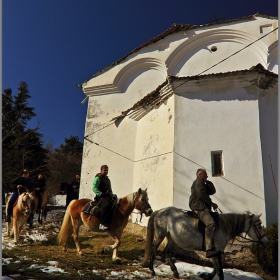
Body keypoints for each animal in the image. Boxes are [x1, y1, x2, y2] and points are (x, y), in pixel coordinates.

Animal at [142, 207, 270, 278]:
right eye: (259, 226)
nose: (266, 242)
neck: (223, 227)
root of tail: (160, 211)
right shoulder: (215, 250)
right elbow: (219, 271)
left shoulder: (215, 251)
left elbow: (216, 269)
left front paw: (205, 276)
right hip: (160, 235)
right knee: (153, 250)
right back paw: (152, 270)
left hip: (171, 238)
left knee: (167, 253)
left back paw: (175, 272)